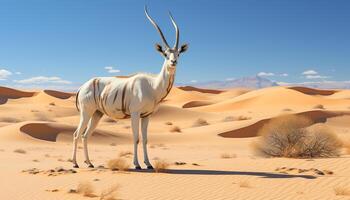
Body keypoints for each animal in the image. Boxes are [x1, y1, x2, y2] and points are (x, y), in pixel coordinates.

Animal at [71, 6, 189, 169]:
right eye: (165, 54)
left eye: (178, 54)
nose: (173, 62)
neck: (153, 86)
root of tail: (82, 87)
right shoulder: (135, 113)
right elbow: (136, 137)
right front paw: (137, 164)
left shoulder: (146, 116)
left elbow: (145, 139)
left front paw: (149, 164)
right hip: (86, 112)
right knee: (77, 134)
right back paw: (75, 163)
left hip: (96, 114)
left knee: (85, 135)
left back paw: (89, 163)